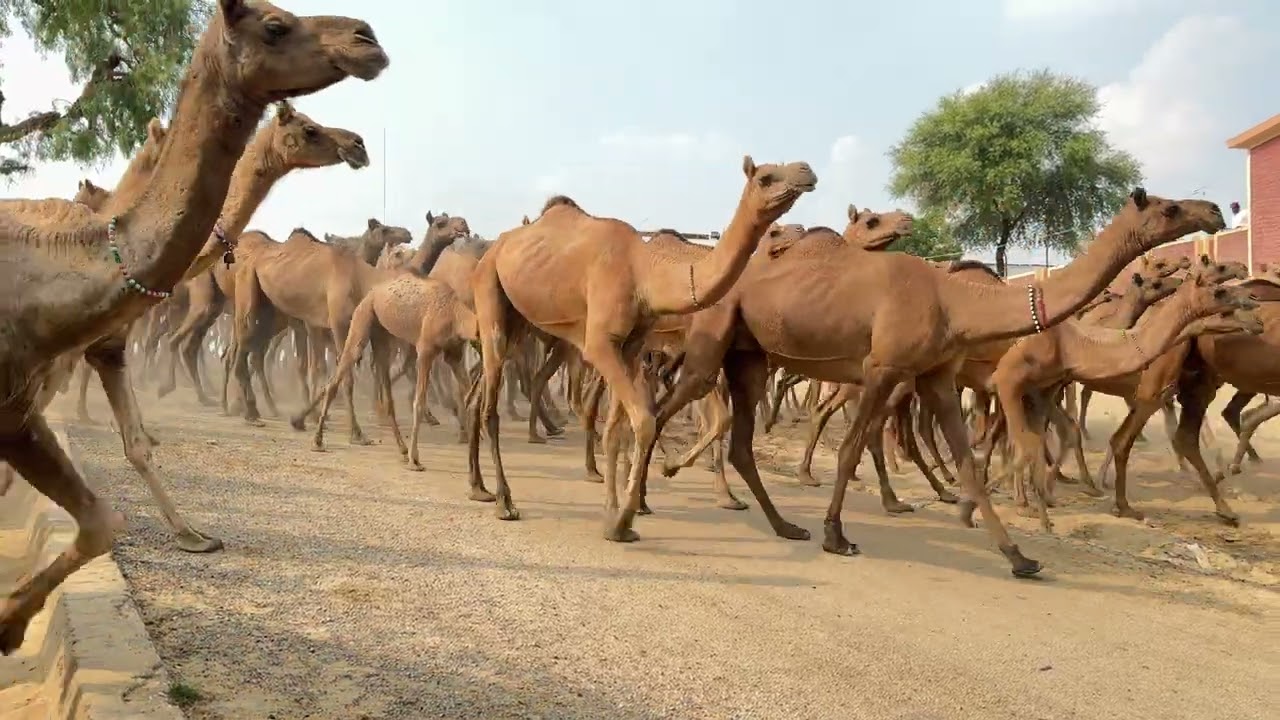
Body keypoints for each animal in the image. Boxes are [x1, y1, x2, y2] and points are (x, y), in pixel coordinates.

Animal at [155, 102, 372, 404]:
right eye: (310, 129)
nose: (358, 145)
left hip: (216, 305)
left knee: (196, 345)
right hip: (207, 299)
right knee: (188, 342)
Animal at [466, 156, 817, 529]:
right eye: (766, 177)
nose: (806, 170)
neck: (646, 274)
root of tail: (494, 248)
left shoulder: (632, 346)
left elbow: (618, 428)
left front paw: (615, 509)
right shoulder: (602, 344)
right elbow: (647, 420)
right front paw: (625, 519)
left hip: (519, 318)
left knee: (482, 393)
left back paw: (479, 487)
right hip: (489, 289)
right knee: (491, 404)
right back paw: (504, 501)